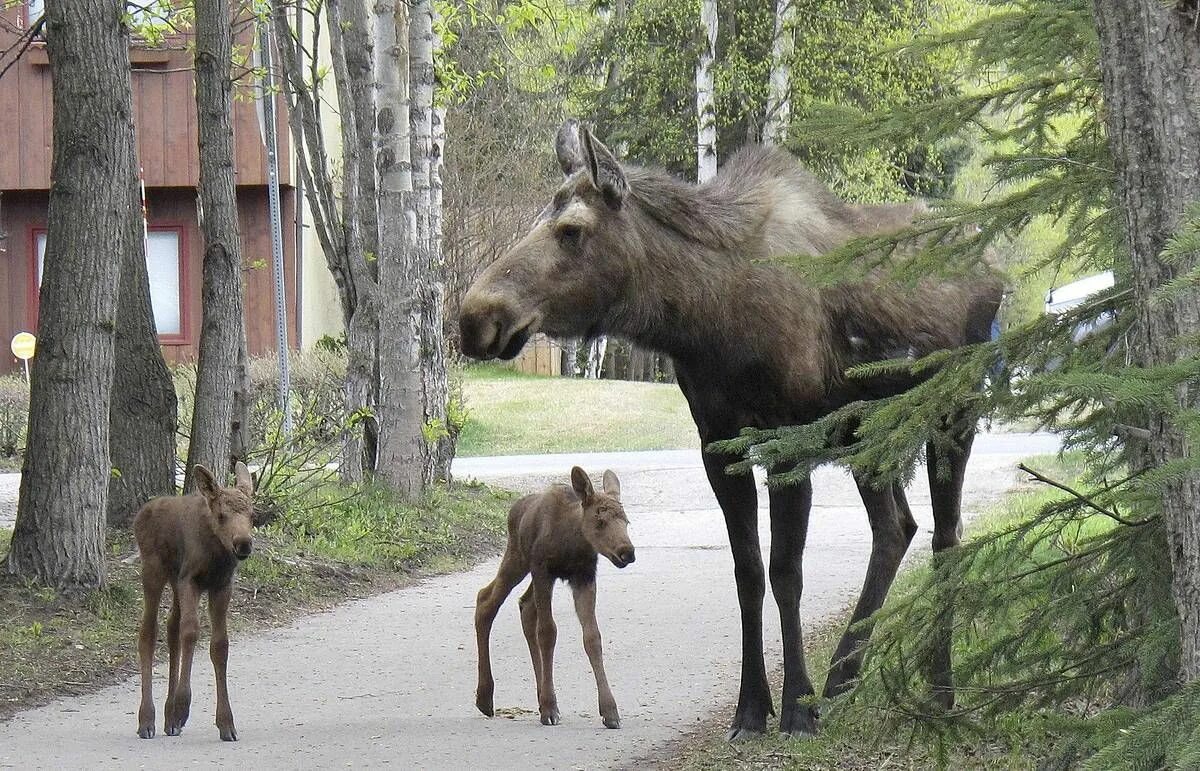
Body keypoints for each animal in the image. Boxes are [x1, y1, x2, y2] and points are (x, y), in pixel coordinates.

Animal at [136, 458, 255, 739]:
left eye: (252, 515)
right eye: (221, 515)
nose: (243, 543)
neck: (216, 555)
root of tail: (139, 514)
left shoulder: (221, 585)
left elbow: (220, 644)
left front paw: (225, 722)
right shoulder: (190, 579)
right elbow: (190, 632)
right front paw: (182, 707)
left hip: (174, 580)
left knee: (171, 627)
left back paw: (168, 719)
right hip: (153, 572)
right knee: (148, 632)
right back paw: (147, 720)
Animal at [472, 461, 633, 725]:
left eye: (626, 522)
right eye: (600, 521)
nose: (627, 552)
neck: (572, 543)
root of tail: (514, 510)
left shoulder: (584, 576)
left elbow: (592, 637)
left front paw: (610, 710)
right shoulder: (543, 570)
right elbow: (547, 632)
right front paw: (549, 707)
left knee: (525, 606)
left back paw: (538, 696)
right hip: (518, 558)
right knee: (486, 599)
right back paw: (486, 697)